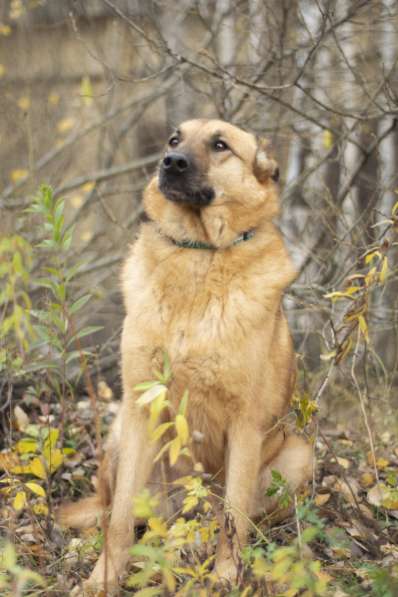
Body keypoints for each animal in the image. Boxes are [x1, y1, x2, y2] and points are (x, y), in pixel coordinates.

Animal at [58, 117, 314, 592]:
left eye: (220, 145)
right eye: (174, 139)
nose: (170, 162)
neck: (200, 255)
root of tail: (181, 511)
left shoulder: (245, 427)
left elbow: (234, 521)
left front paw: (226, 577)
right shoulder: (141, 410)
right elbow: (120, 522)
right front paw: (103, 579)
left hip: (298, 456)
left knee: (240, 518)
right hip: (118, 439)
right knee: (108, 510)